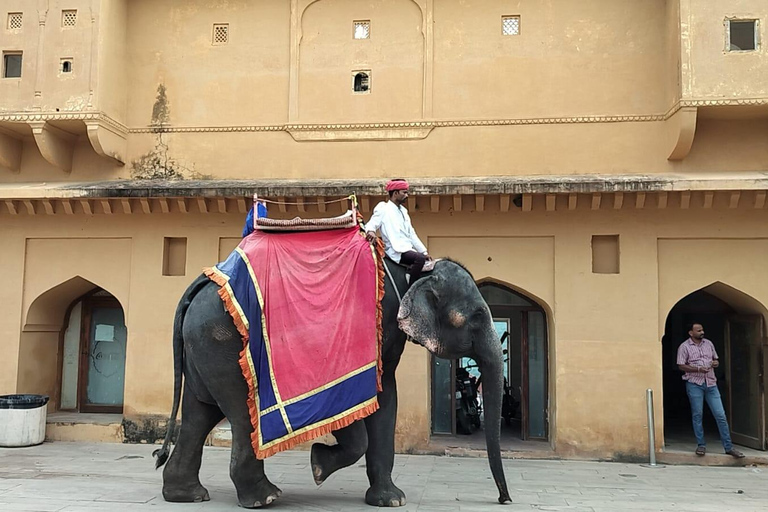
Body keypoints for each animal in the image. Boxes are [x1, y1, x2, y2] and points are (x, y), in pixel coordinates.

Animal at [154, 258, 510, 506]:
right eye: (478, 316)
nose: (504, 500)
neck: (415, 271)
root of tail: (197, 286)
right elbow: (351, 400)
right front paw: (318, 466)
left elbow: (385, 397)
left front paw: (391, 500)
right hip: (224, 345)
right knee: (240, 414)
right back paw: (265, 498)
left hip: (204, 349)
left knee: (200, 414)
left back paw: (187, 495)